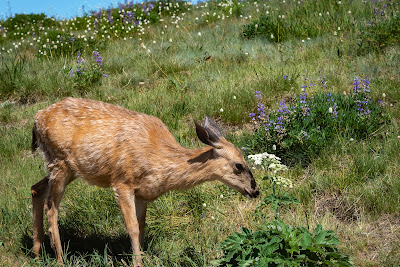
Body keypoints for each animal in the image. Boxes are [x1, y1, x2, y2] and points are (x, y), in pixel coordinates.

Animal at [31, 98, 260, 266]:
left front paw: (143, 256)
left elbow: (142, 225)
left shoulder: (143, 192)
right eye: (239, 165)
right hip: (59, 162)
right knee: (52, 207)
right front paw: (137, 262)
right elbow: (132, 227)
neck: (158, 159)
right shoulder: (122, 182)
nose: (255, 190)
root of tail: (36, 118)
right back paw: (60, 259)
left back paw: (37, 252)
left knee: (36, 189)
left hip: (67, 168)